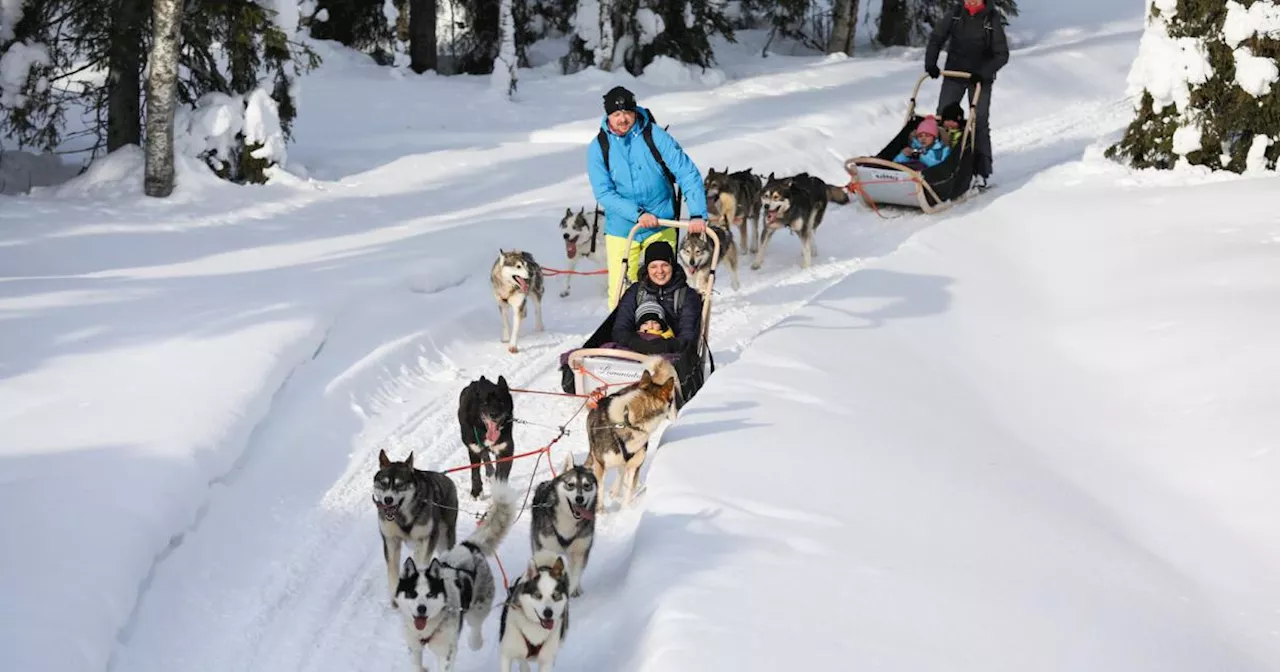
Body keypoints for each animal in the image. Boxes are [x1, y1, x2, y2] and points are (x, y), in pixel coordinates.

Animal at [373, 448, 458, 604]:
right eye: (383, 483)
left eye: (400, 484)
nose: (388, 499)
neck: (402, 516)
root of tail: (446, 478)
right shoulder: (391, 540)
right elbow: (392, 570)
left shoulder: (426, 538)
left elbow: (420, 562)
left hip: (444, 537)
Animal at [399, 481, 519, 670]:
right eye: (412, 593)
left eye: (431, 594)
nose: (421, 609)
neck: (428, 629)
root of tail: (469, 546)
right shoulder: (414, 645)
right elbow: (416, 664)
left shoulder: (446, 651)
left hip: (477, 607)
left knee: (476, 624)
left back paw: (475, 642)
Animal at [529, 453, 599, 593]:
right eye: (571, 484)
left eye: (587, 485)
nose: (579, 498)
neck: (568, 520)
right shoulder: (547, 549)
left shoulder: (580, 551)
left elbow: (575, 576)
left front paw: (571, 589)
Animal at [583, 358, 675, 506]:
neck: (629, 421)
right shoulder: (600, 465)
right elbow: (599, 492)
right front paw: (600, 509)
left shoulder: (634, 466)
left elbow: (628, 491)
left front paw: (625, 509)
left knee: (621, 474)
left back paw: (615, 492)